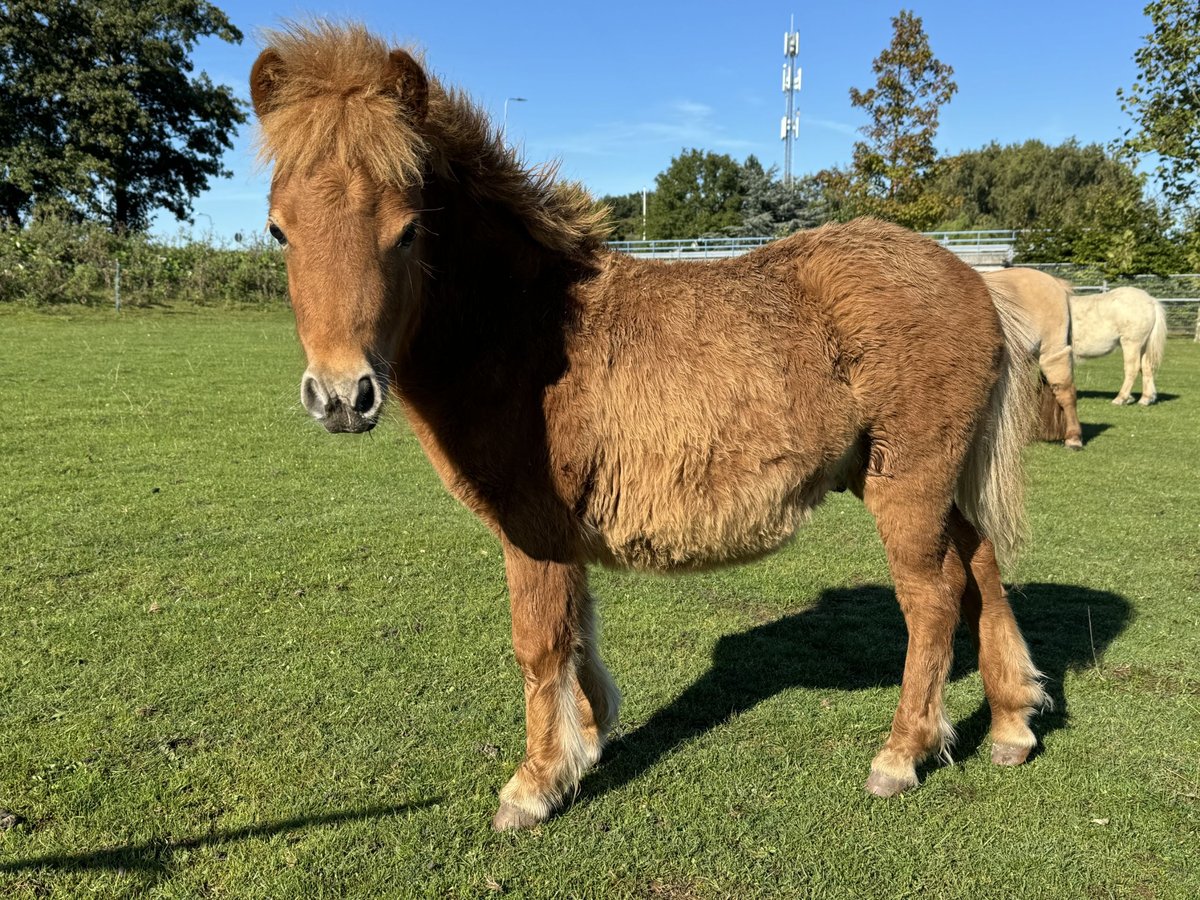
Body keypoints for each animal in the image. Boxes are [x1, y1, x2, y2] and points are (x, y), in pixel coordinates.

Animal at [248, 21, 1046, 835]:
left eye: (408, 233)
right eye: (278, 231)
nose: (342, 396)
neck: (523, 329)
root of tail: (975, 279)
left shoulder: (530, 529)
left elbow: (540, 643)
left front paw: (535, 782)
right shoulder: (561, 532)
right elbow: (577, 631)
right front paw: (589, 735)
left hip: (907, 484)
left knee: (934, 597)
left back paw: (902, 753)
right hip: (923, 480)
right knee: (981, 564)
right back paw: (1012, 723)